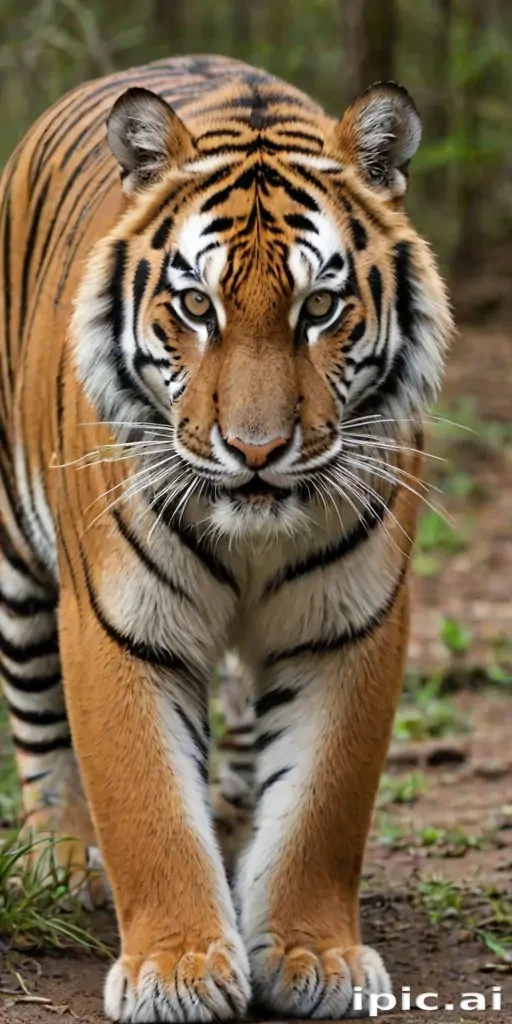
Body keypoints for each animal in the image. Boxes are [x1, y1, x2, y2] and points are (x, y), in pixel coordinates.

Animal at [0, 54, 452, 1021]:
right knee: (37, 718)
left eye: (320, 306)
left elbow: (322, 804)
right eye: (195, 305)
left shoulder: (350, 623)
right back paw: (60, 861)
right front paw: (177, 969)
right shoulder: (119, 621)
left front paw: (313, 954)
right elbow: (147, 803)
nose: (255, 450)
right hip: (18, 560)